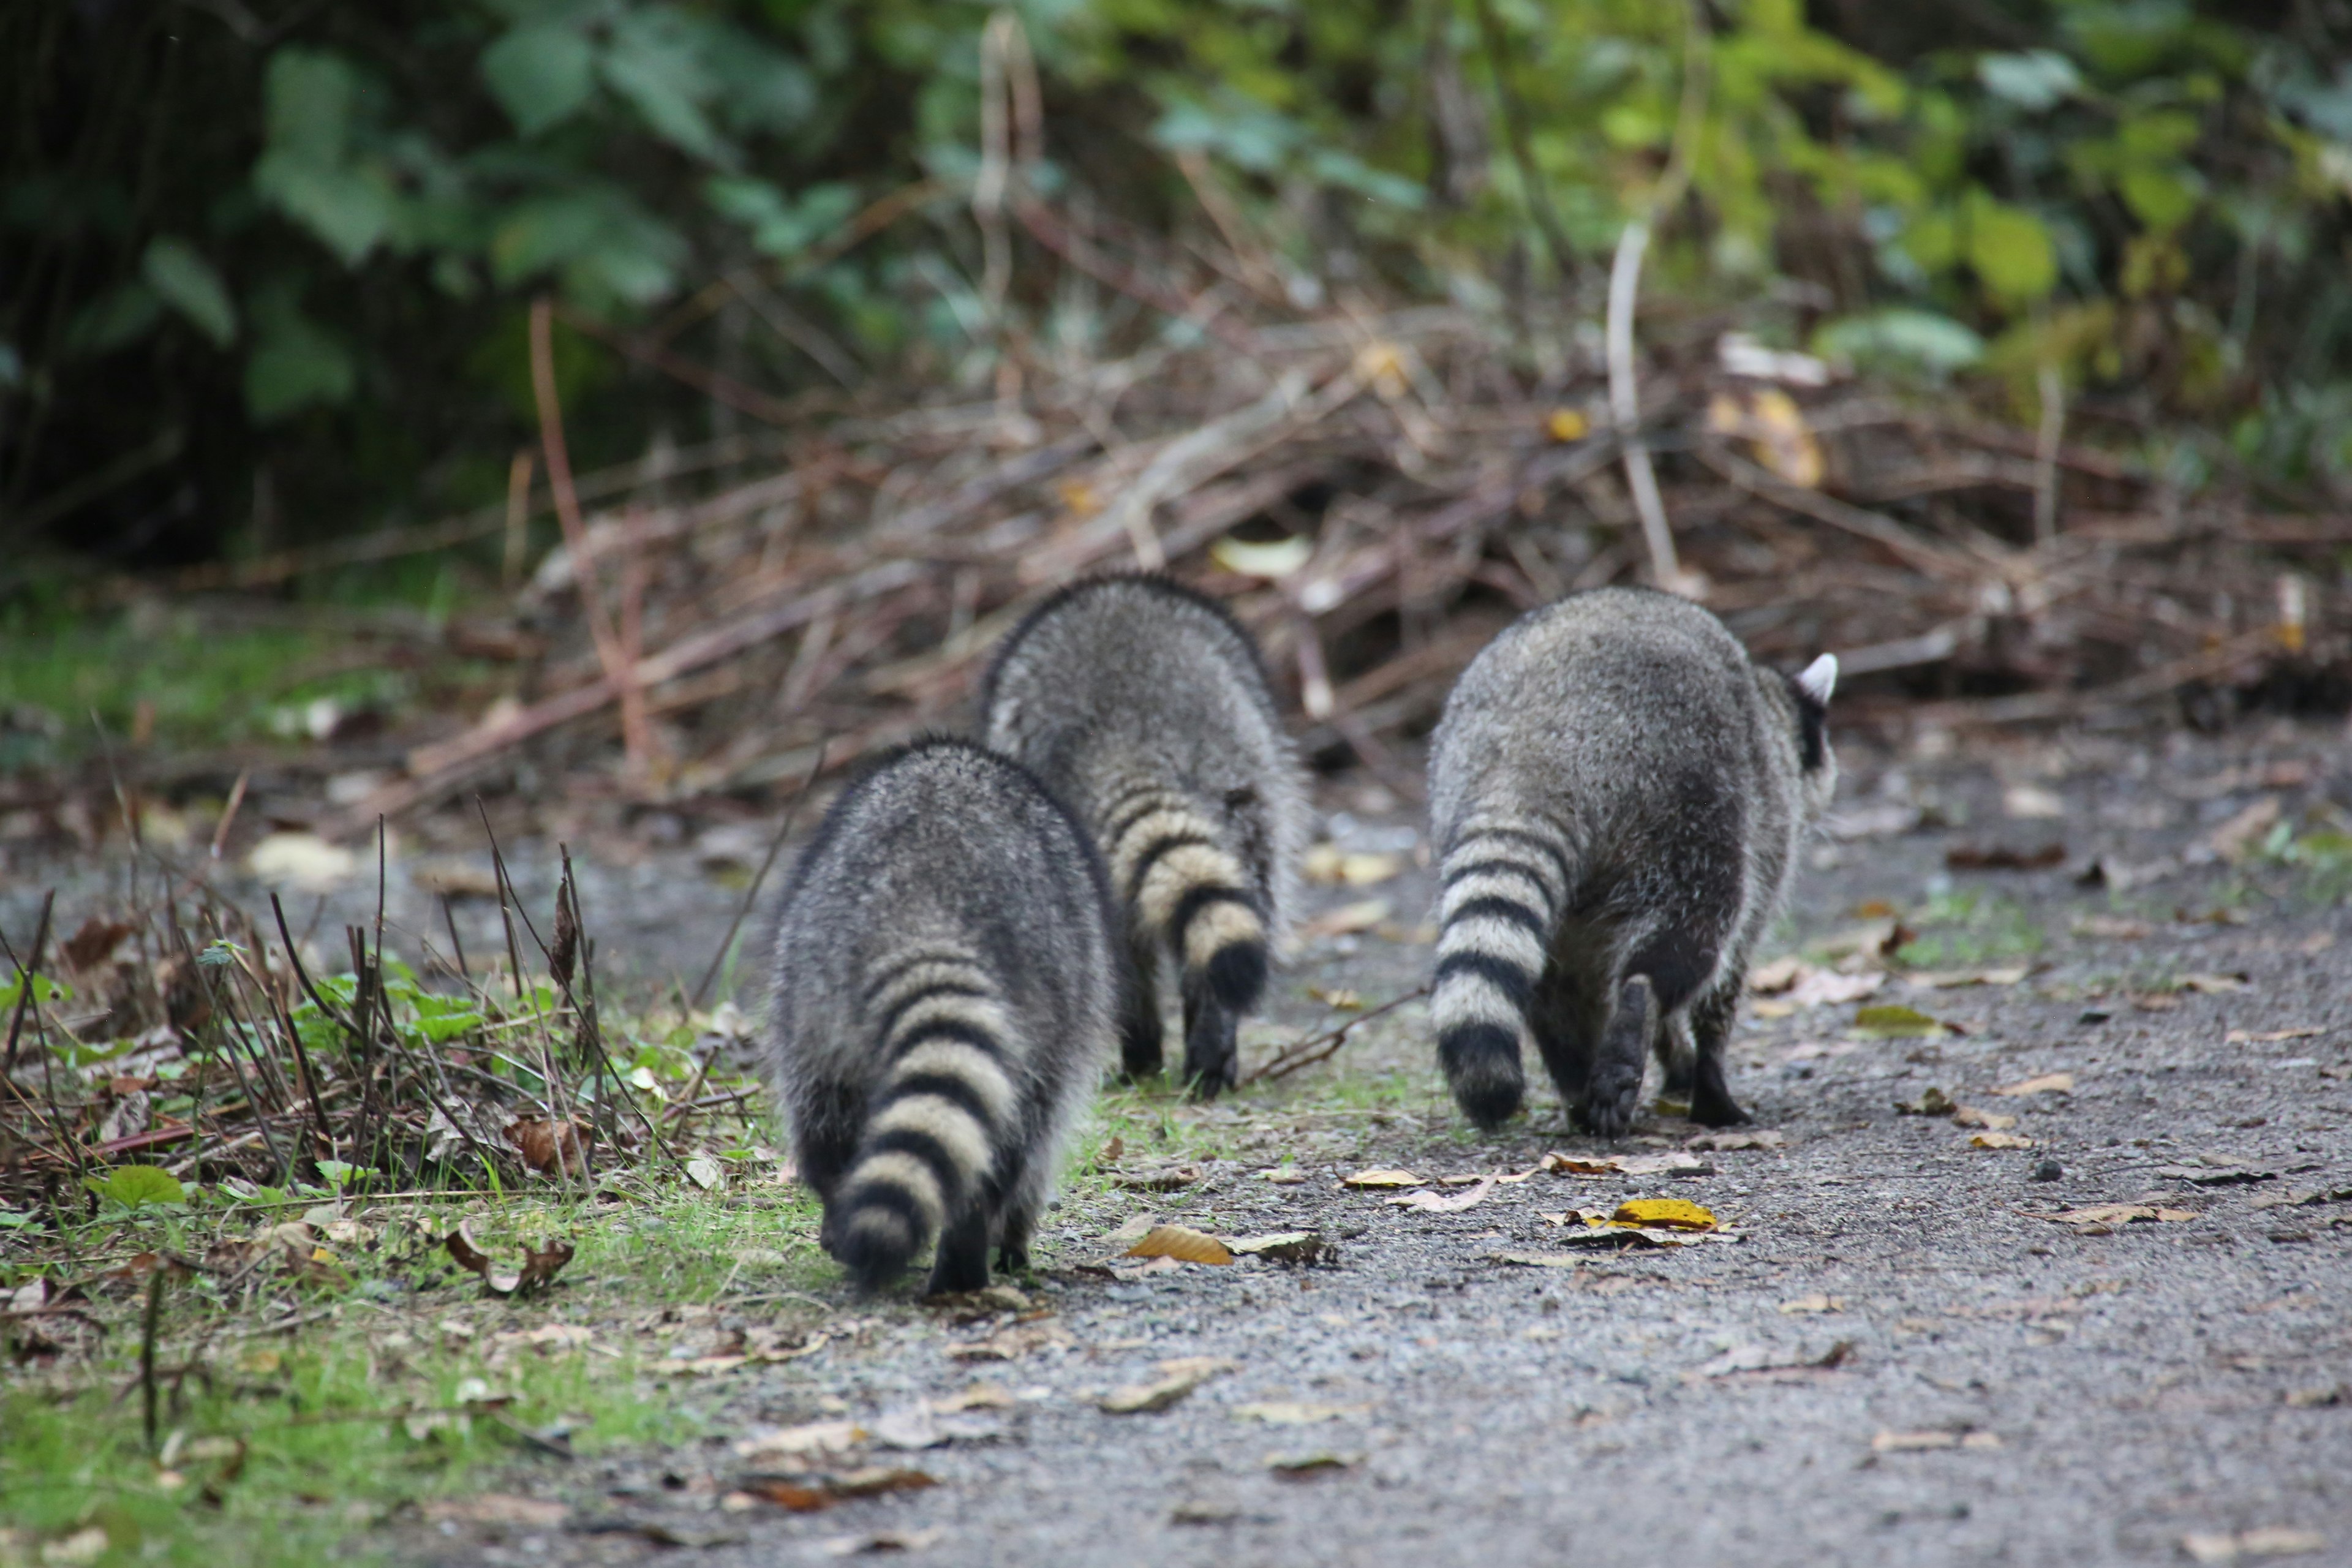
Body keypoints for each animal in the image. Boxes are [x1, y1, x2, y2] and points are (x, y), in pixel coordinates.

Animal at [757, 742, 1115, 1297]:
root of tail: (924, 901)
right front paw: (1015, 1236)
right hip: (1050, 995)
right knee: (1009, 1144)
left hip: (810, 996)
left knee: (827, 1122)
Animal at [1411, 587, 1834, 1142]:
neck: (1770, 711)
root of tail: (1533, 742)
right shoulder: (1765, 824)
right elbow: (1726, 978)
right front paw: (1705, 1068)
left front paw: (1676, 1057)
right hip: (1689, 799)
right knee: (1694, 933)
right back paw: (1640, 1012)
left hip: (1456, 778)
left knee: (1559, 987)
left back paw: (1575, 1073)